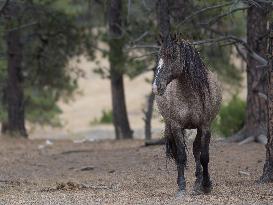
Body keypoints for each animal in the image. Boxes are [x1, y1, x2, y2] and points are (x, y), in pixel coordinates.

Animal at [151, 35, 221, 195]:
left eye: (173, 56)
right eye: (159, 56)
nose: (156, 87)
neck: (190, 95)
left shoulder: (205, 126)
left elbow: (204, 156)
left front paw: (206, 184)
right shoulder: (177, 127)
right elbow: (181, 155)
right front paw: (182, 186)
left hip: (198, 129)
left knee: (196, 150)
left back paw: (198, 181)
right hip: (171, 126)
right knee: (180, 153)